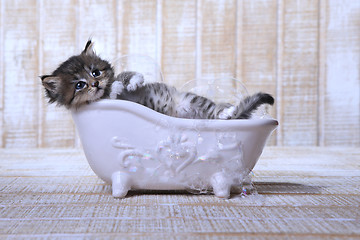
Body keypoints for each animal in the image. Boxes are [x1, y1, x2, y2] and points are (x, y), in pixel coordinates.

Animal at [40, 41, 274, 120]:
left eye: (95, 73)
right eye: (79, 85)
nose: (95, 84)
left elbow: (129, 75)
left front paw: (131, 82)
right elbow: (114, 92)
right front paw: (116, 89)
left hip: (191, 99)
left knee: (218, 111)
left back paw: (227, 112)